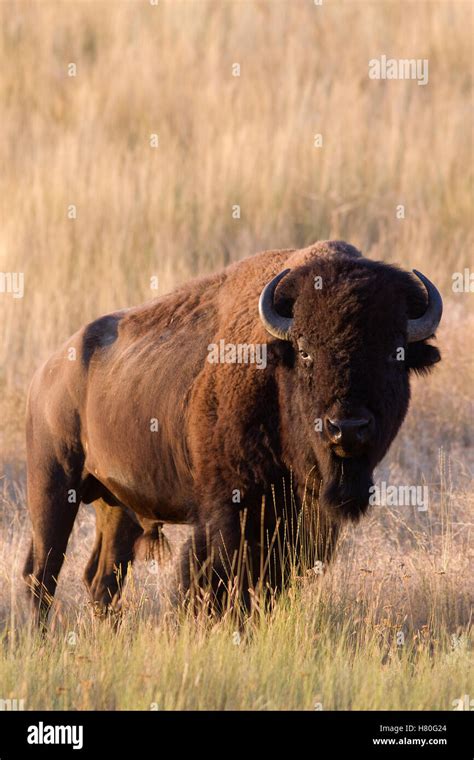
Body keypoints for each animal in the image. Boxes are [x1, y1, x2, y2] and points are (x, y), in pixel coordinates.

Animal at [24, 240, 442, 620]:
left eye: (394, 355)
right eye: (305, 350)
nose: (347, 429)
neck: (274, 367)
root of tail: (49, 370)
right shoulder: (230, 510)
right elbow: (213, 580)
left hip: (117, 504)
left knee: (103, 581)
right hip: (54, 486)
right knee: (41, 574)